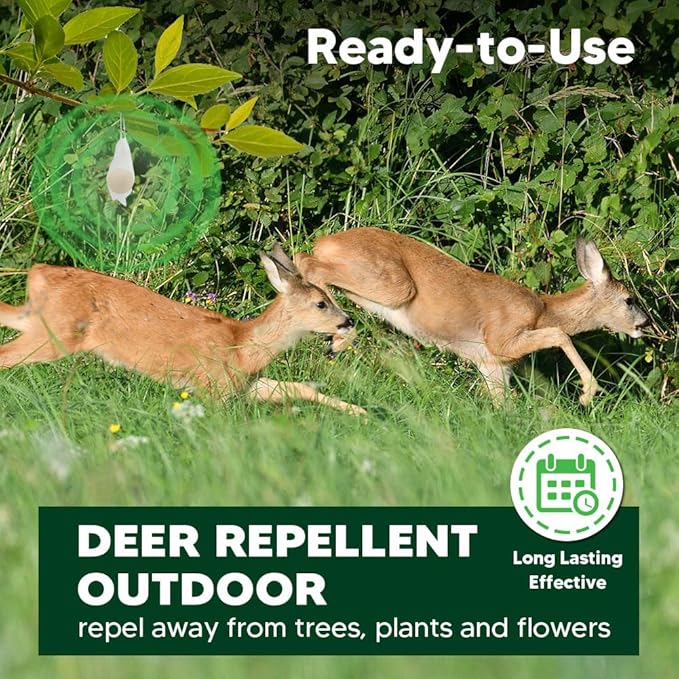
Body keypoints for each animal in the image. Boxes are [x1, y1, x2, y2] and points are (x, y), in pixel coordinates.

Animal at [0, 245, 366, 415]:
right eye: (321, 303)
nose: (348, 322)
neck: (243, 346)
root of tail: (39, 272)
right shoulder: (213, 384)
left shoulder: (245, 384)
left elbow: (298, 388)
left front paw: (361, 412)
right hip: (56, 334)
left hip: (38, 320)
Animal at [294, 228, 649, 406]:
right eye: (630, 299)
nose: (644, 324)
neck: (544, 309)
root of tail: (325, 240)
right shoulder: (501, 339)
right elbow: (559, 334)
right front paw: (588, 393)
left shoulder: (492, 364)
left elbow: (501, 405)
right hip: (394, 286)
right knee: (307, 263)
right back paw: (336, 338)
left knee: (305, 260)